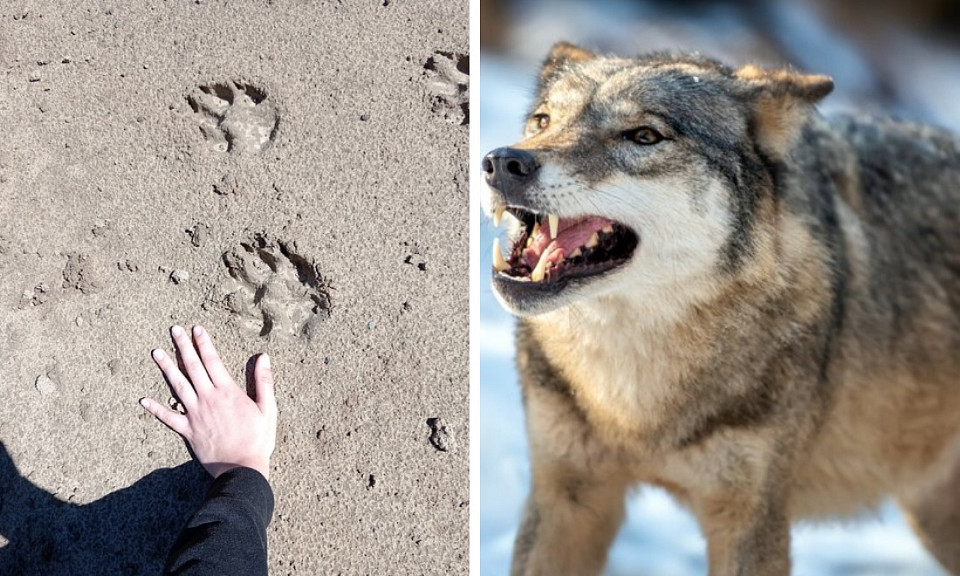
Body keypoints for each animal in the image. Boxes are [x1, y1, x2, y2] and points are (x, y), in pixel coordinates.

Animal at [480, 42, 960, 572]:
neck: (634, 408)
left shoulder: (750, 517)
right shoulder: (565, 495)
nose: (502, 162)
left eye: (644, 136)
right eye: (543, 121)